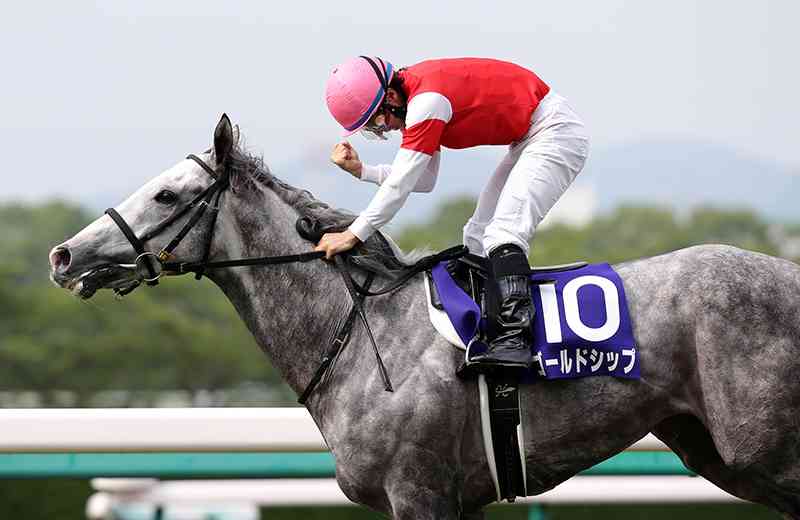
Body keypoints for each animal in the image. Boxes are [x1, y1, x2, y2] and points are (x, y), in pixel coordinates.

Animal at [49, 115, 800, 519]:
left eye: (167, 194)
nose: (63, 255)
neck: (363, 333)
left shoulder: (420, 493)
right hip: (711, 448)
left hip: (762, 450)